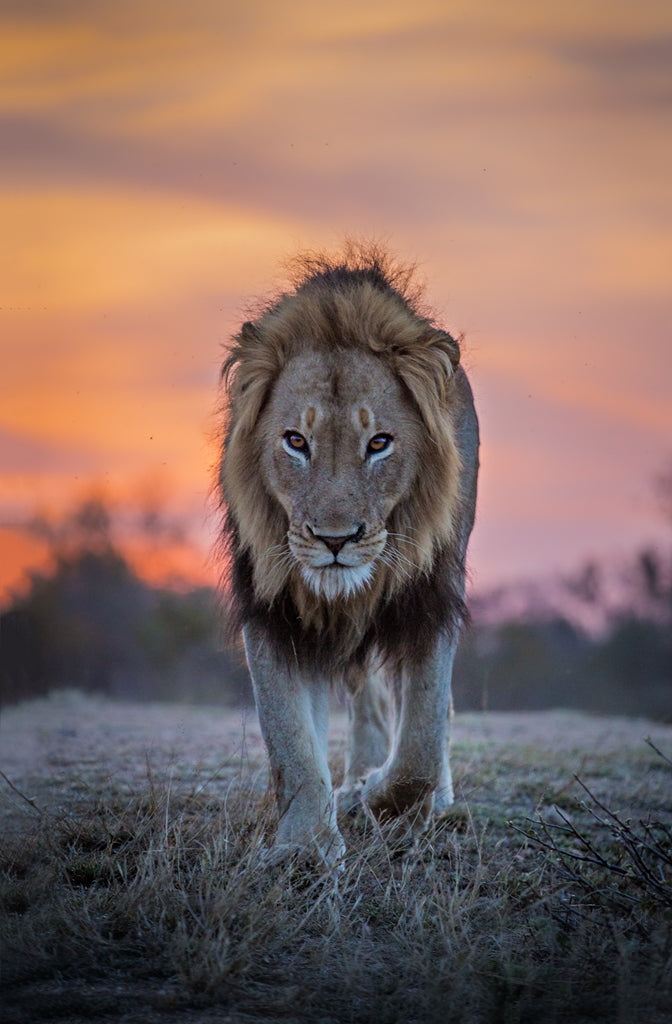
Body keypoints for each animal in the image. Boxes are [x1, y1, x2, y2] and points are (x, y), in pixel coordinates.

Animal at [218, 243, 479, 868]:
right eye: (296, 441)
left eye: (379, 443)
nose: (335, 539)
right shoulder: (274, 608)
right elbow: (289, 738)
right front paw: (306, 847)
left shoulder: (432, 598)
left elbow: (420, 738)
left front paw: (380, 798)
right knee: (367, 700)